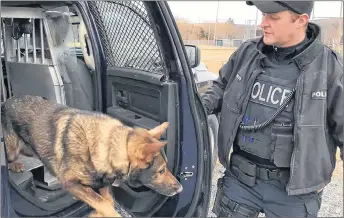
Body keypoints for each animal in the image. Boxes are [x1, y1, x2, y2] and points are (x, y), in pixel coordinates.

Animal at [2, 95, 183, 216]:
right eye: (161, 171)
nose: (181, 188)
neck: (108, 146)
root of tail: (8, 100)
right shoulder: (71, 183)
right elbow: (104, 204)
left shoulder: (102, 181)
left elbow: (107, 202)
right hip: (11, 148)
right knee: (10, 156)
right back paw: (15, 164)